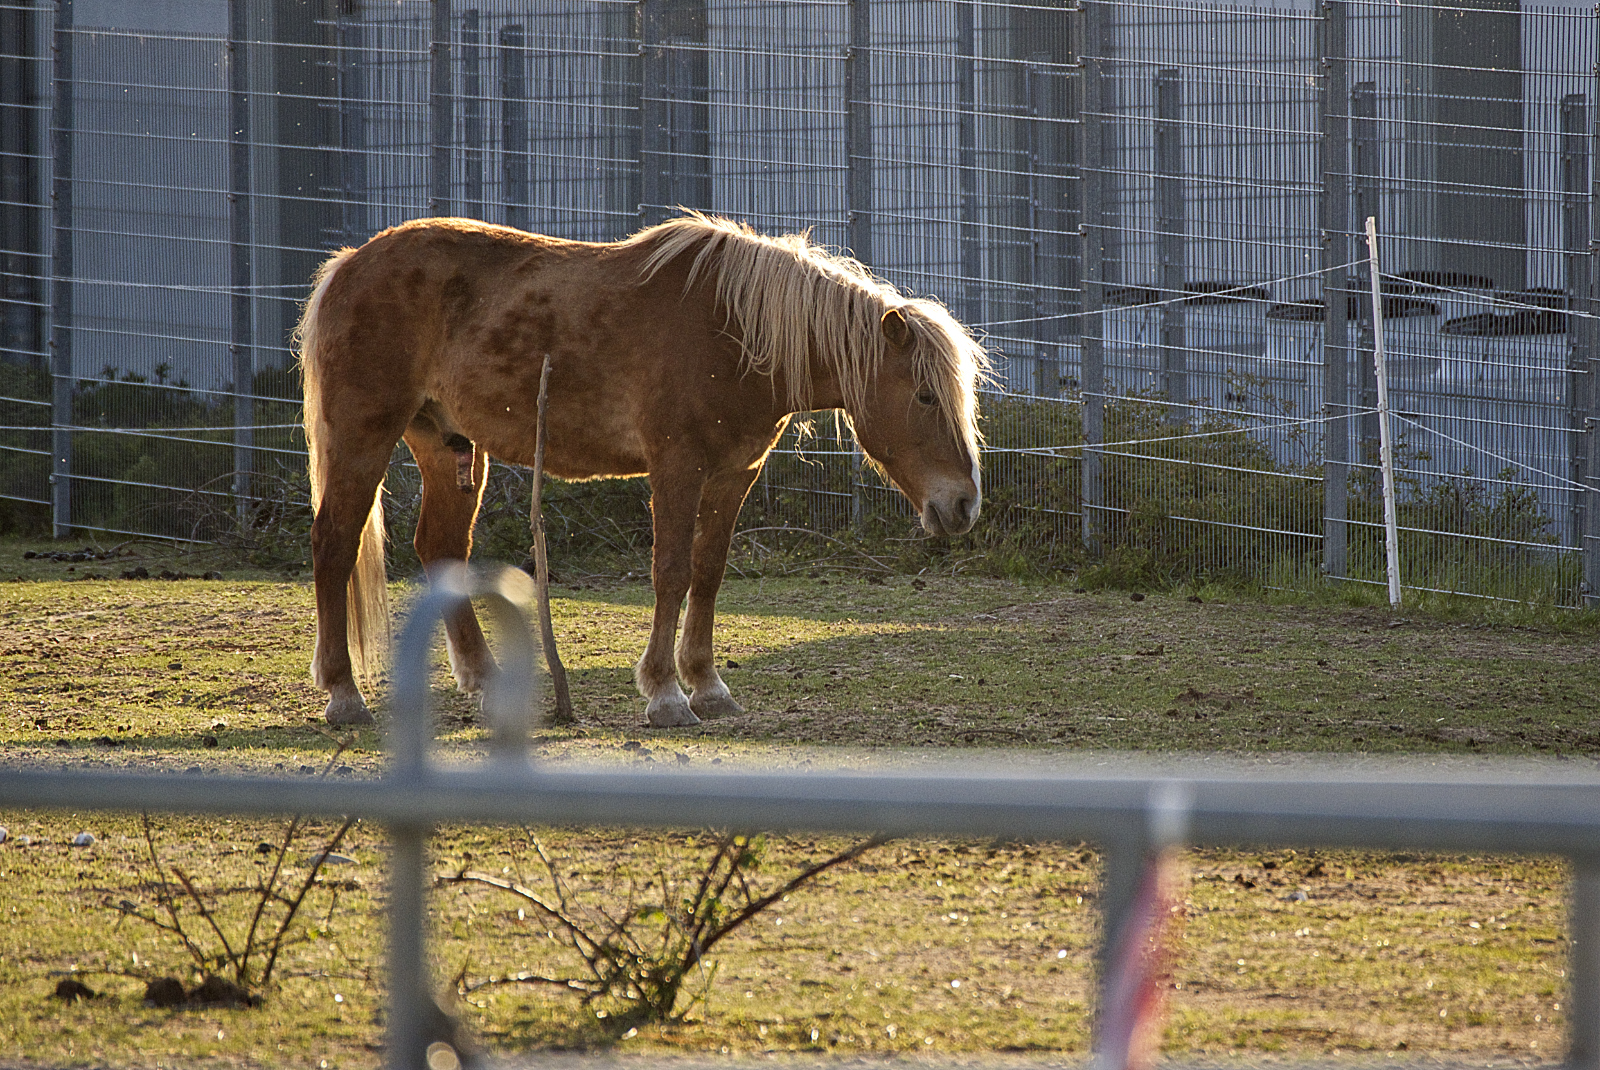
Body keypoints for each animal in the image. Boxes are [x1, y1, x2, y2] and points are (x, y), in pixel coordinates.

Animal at [294, 211, 979, 726]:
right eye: (925, 396)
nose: (965, 504)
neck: (733, 331)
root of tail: (347, 263)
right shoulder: (677, 466)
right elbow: (671, 573)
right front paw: (666, 694)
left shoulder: (734, 473)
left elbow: (708, 573)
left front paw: (707, 686)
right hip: (363, 435)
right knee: (334, 544)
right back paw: (344, 695)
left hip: (447, 445)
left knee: (439, 547)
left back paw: (485, 681)